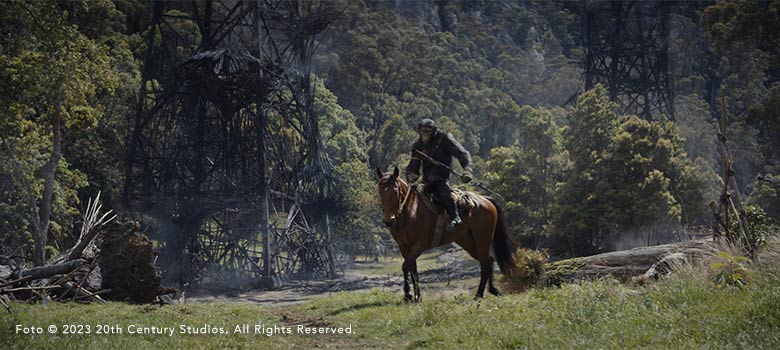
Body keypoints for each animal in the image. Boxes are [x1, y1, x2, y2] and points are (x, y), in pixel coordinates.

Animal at [374, 167, 516, 300]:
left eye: (395, 191)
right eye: (380, 191)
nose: (388, 220)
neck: (410, 211)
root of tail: (486, 200)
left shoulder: (419, 245)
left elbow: (405, 267)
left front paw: (408, 294)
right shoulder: (404, 247)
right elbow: (413, 270)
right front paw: (417, 297)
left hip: (483, 238)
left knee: (486, 263)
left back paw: (479, 295)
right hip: (468, 241)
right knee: (488, 260)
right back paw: (492, 290)